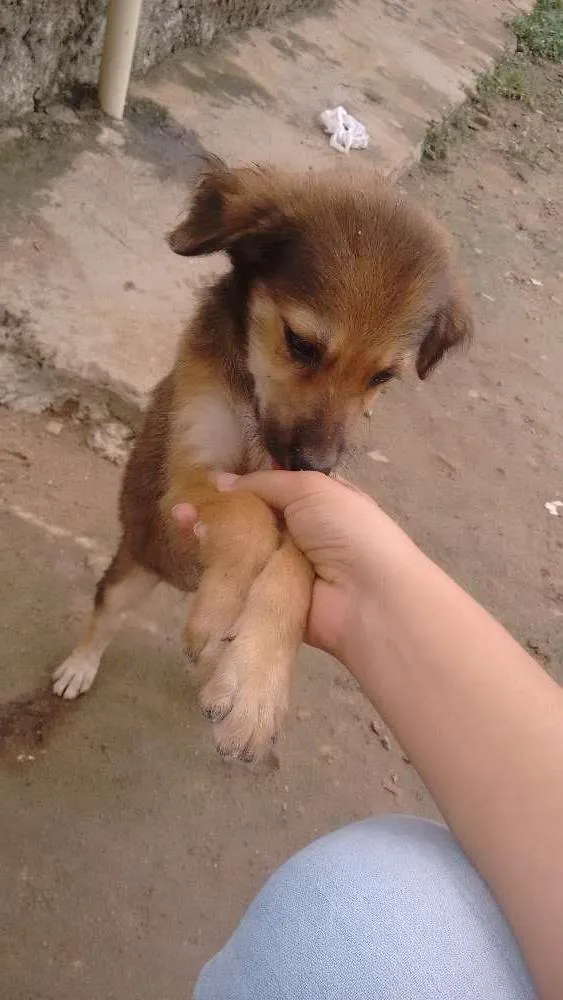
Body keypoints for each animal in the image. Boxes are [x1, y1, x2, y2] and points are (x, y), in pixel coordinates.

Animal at [53, 162, 474, 756]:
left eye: (382, 377)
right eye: (301, 344)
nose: (315, 466)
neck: (253, 407)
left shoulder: (296, 504)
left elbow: (296, 565)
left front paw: (255, 682)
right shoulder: (188, 477)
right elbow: (247, 516)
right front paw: (220, 612)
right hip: (133, 567)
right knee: (104, 615)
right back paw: (81, 666)